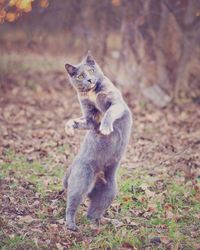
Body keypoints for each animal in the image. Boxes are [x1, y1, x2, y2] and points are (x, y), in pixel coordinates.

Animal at [63, 51, 132, 231]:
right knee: (72, 205)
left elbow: (109, 113)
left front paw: (106, 127)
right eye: (80, 76)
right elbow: (81, 120)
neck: (92, 93)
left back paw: (112, 222)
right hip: (81, 181)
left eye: (91, 71)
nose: (89, 79)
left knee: (93, 214)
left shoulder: (115, 103)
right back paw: (71, 225)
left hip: (109, 190)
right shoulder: (90, 117)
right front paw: (69, 127)